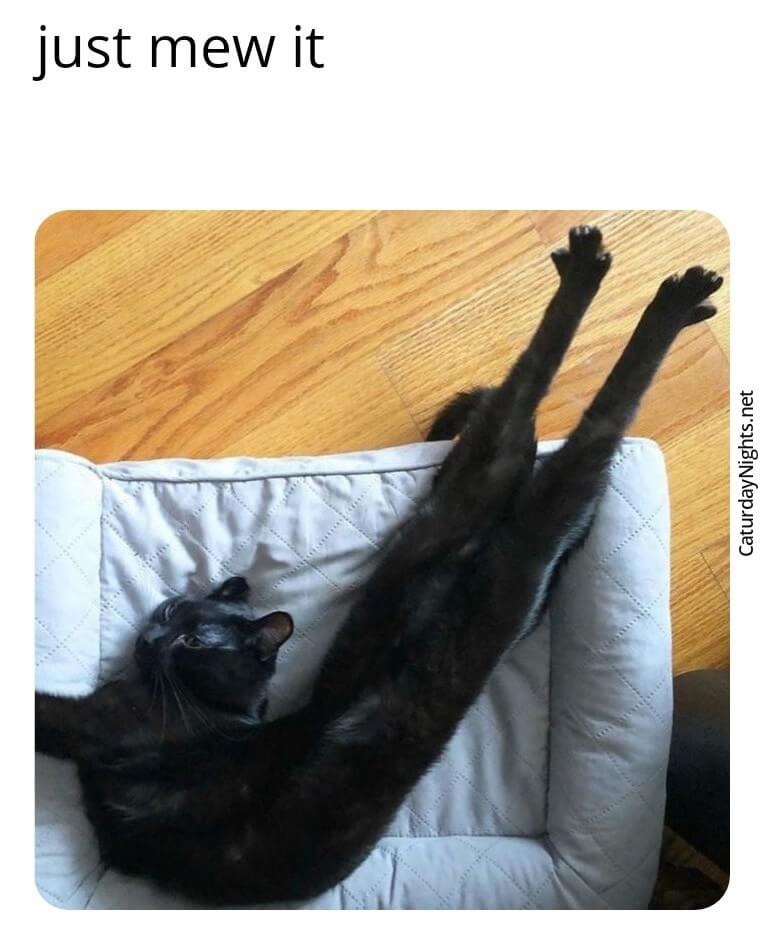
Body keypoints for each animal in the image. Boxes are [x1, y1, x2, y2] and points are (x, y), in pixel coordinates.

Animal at [36, 226, 722, 906]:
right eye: (173, 608)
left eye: (194, 640)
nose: (153, 636)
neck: (222, 713)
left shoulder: (93, 726)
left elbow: (44, 709)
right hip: (449, 534)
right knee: (521, 433)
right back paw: (634, 280)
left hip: (505, 536)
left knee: (577, 428)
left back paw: (645, 289)